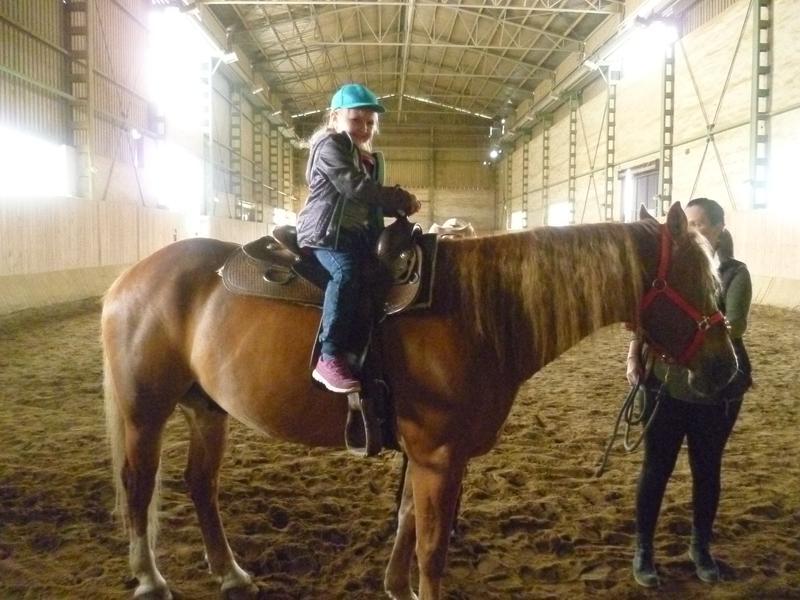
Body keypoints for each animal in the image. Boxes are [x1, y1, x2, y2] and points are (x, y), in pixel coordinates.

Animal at [101, 202, 737, 600]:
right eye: (698, 280)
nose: (726, 368)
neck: (478, 312)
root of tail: (130, 278)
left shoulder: (429, 456)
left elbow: (409, 521)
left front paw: (394, 585)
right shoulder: (439, 456)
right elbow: (432, 546)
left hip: (206, 409)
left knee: (200, 485)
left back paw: (231, 573)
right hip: (144, 411)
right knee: (138, 484)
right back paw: (150, 579)